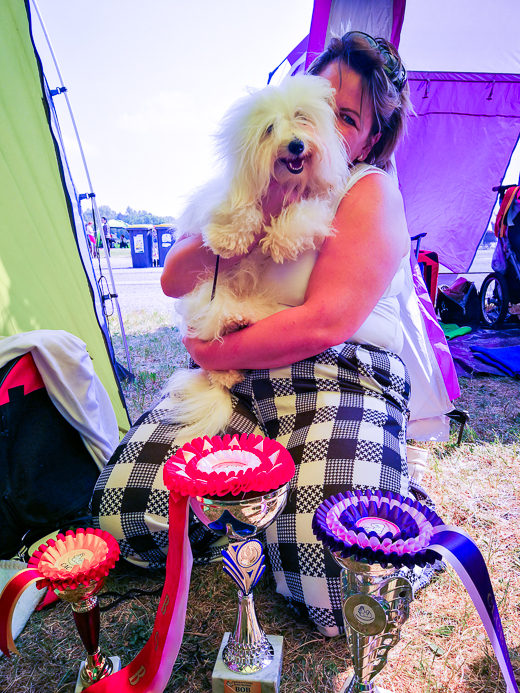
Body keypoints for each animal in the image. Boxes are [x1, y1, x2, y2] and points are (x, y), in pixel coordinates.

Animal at [167, 73, 350, 440]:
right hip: (206, 294)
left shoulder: (315, 205)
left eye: (301, 117)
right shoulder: (230, 197)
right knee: (211, 335)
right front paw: (229, 241)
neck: (283, 183)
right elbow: (242, 209)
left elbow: (302, 216)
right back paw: (229, 335)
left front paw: (278, 240)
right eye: (269, 129)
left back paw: (240, 325)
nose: (295, 145)